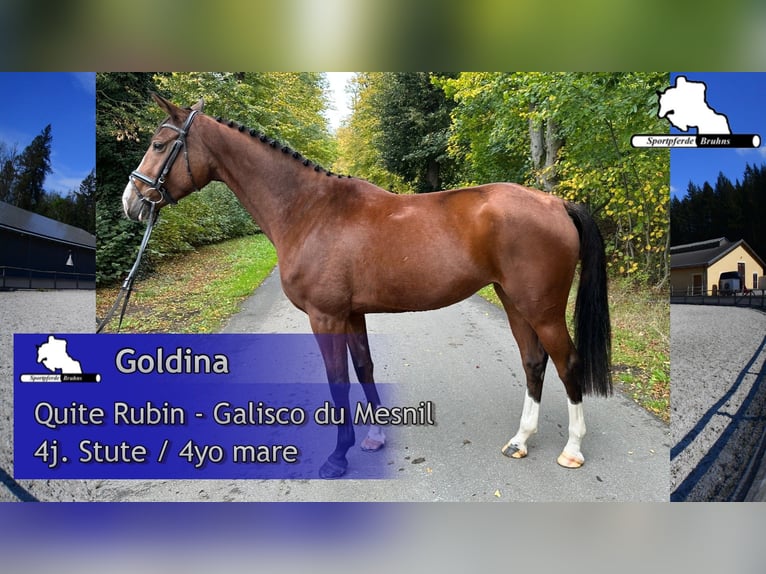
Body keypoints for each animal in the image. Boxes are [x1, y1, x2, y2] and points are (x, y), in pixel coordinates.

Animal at [121, 93, 612, 479]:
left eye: (159, 144)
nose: (131, 202)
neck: (309, 211)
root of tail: (557, 202)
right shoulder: (352, 313)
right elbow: (363, 368)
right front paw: (374, 438)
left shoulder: (326, 317)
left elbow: (338, 379)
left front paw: (339, 456)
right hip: (514, 301)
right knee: (533, 362)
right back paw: (520, 440)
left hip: (542, 308)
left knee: (567, 362)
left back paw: (572, 450)